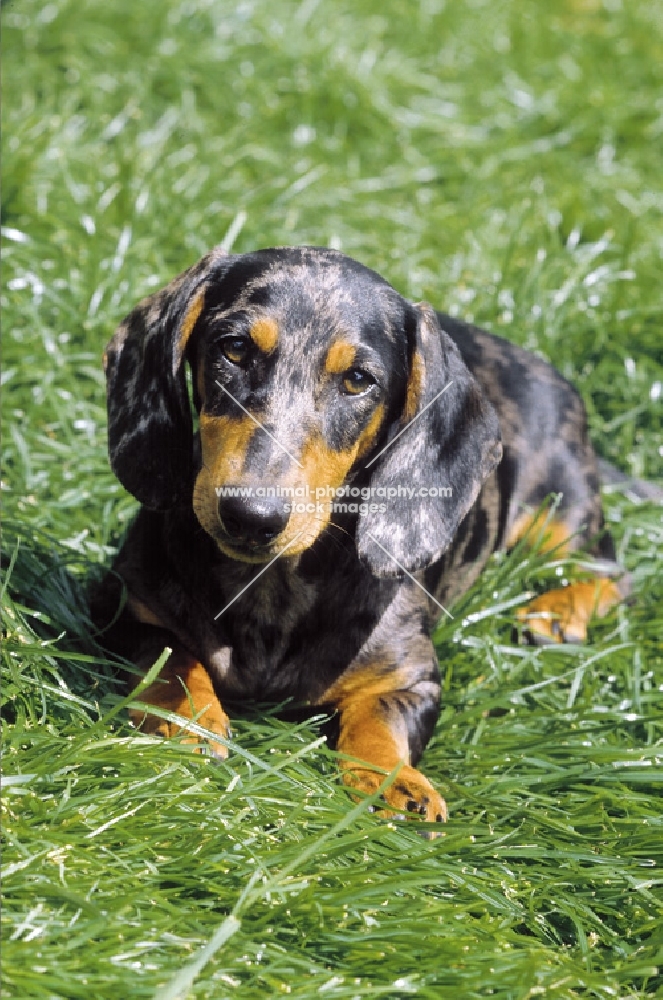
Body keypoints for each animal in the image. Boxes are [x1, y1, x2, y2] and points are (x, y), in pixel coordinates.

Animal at [92, 246, 628, 832]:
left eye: (357, 379)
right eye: (233, 348)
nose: (251, 515)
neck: (272, 588)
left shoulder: (411, 677)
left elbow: (379, 719)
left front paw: (396, 782)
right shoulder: (124, 607)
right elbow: (170, 659)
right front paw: (188, 719)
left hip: (558, 510)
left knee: (612, 571)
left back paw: (557, 612)